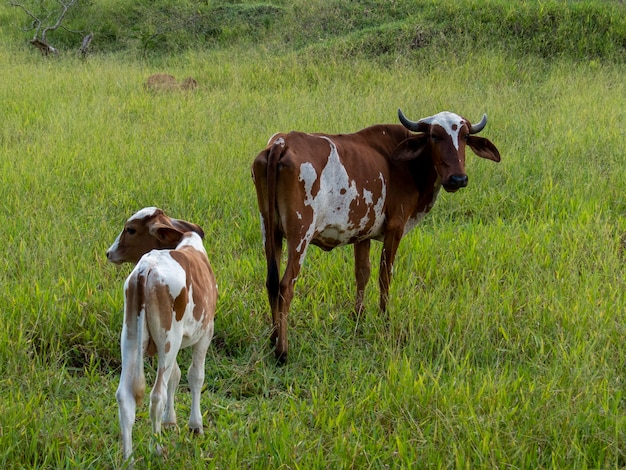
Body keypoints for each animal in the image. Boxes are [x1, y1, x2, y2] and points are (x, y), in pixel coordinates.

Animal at [105, 208, 217, 462]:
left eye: (130, 230)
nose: (109, 253)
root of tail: (146, 268)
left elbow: (176, 375)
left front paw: (170, 422)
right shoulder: (206, 332)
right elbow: (195, 376)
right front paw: (195, 426)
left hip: (132, 338)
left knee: (125, 396)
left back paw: (128, 459)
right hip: (168, 339)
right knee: (156, 395)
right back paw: (157, 449)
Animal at [251, 110, 500, 364]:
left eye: (465, 136)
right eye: (434, 136)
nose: (458, 179)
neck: (406, 165)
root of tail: (282, 142)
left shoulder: (363, 234)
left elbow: (362, 274)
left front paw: (358, 317)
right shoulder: (395, 228)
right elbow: (384, 275)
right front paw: (385, 317)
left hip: (269, 230)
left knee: (271, 282)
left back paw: (273, 338)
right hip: (300, 234)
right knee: (285, 286)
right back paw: (282, 351)